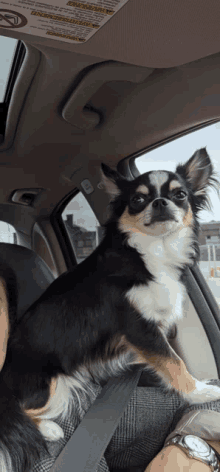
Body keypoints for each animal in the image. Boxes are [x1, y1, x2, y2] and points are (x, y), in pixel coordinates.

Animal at [0, 148, 220, 472]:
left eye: (180, 194)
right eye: (138, 199)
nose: (160, 202)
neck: (149, 252)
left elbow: (167, 361)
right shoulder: (139, 328)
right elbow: (174, 363)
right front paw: (199, 392)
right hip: (49, 386)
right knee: (22, 411)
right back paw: (49, 429)